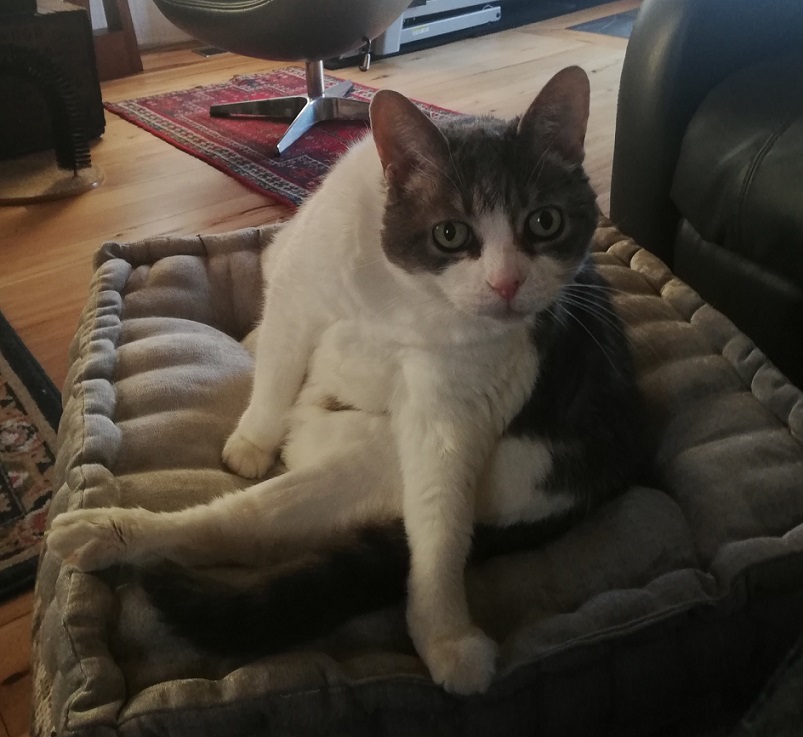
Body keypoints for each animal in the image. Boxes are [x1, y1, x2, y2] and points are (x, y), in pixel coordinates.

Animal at [47, 67, 648, 696]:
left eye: (545, 222)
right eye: (451, 234)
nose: (507, 284)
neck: (407, 295)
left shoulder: (450, 409)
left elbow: (441, 530)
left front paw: (444, 635)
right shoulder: (298, 295)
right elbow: (276, 374)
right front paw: (253, 440)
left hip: (401, 464)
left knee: (249, 524)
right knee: (245, 510)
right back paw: (109, 529)